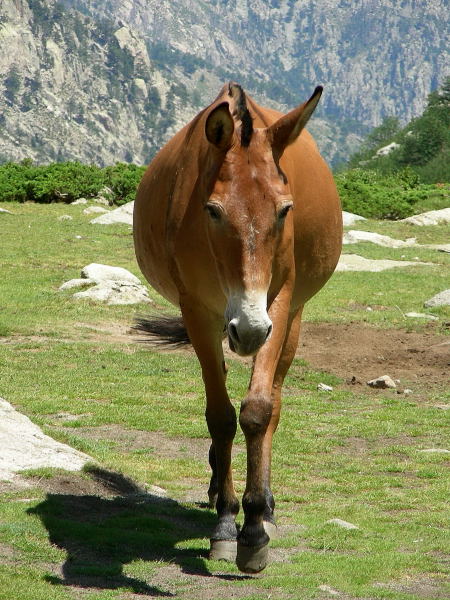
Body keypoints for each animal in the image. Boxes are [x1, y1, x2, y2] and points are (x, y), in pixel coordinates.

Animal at [132, 82, 342, 576]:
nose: (247, 331)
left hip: (292, 321)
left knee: (275, 404)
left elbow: (258, 411)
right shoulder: (197, 311)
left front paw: (254, 530)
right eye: (212, 210)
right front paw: (227, 524)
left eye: (285, 210)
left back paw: (266, 504)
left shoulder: (278, 303)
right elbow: (221, 416)